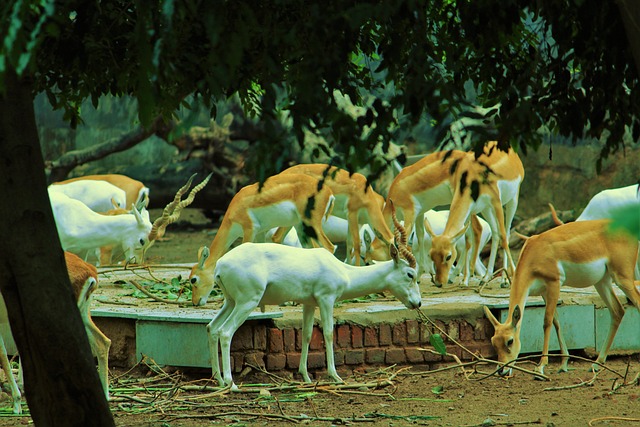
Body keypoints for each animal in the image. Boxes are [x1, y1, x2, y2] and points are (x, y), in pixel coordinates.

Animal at [189, 172, 336, 306]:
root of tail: (329, 193)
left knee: (329, 247)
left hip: (311, 225)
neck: (236, 207)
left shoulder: (249, 230)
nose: (195, 302)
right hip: (301, 227)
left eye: (193, 279)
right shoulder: (260, 232)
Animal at [198, 206, 422, 390]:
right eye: (410, 274)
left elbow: (306, 334)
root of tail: (220, 266)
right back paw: (231, 383)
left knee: (212, 328)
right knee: (226, 332)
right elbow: (329, 333)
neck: (344, 271)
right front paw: (335, 376)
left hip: (231, 302)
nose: (417, 302)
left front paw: (305, 376)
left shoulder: (309, 304)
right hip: (247, 302)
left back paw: (218, 380)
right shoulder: (326, 299)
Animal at [484, 221, 640, 378]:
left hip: (622, 278)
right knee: (617, 311)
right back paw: (596, 364)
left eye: (510, 341)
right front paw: (563, 364)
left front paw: (540, 367)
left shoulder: (554, 283)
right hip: (602, 281)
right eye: (493, 342)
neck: (535, 252)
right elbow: (556, 321)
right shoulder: (543, 291)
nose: (502, 371)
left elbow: (547, 322)